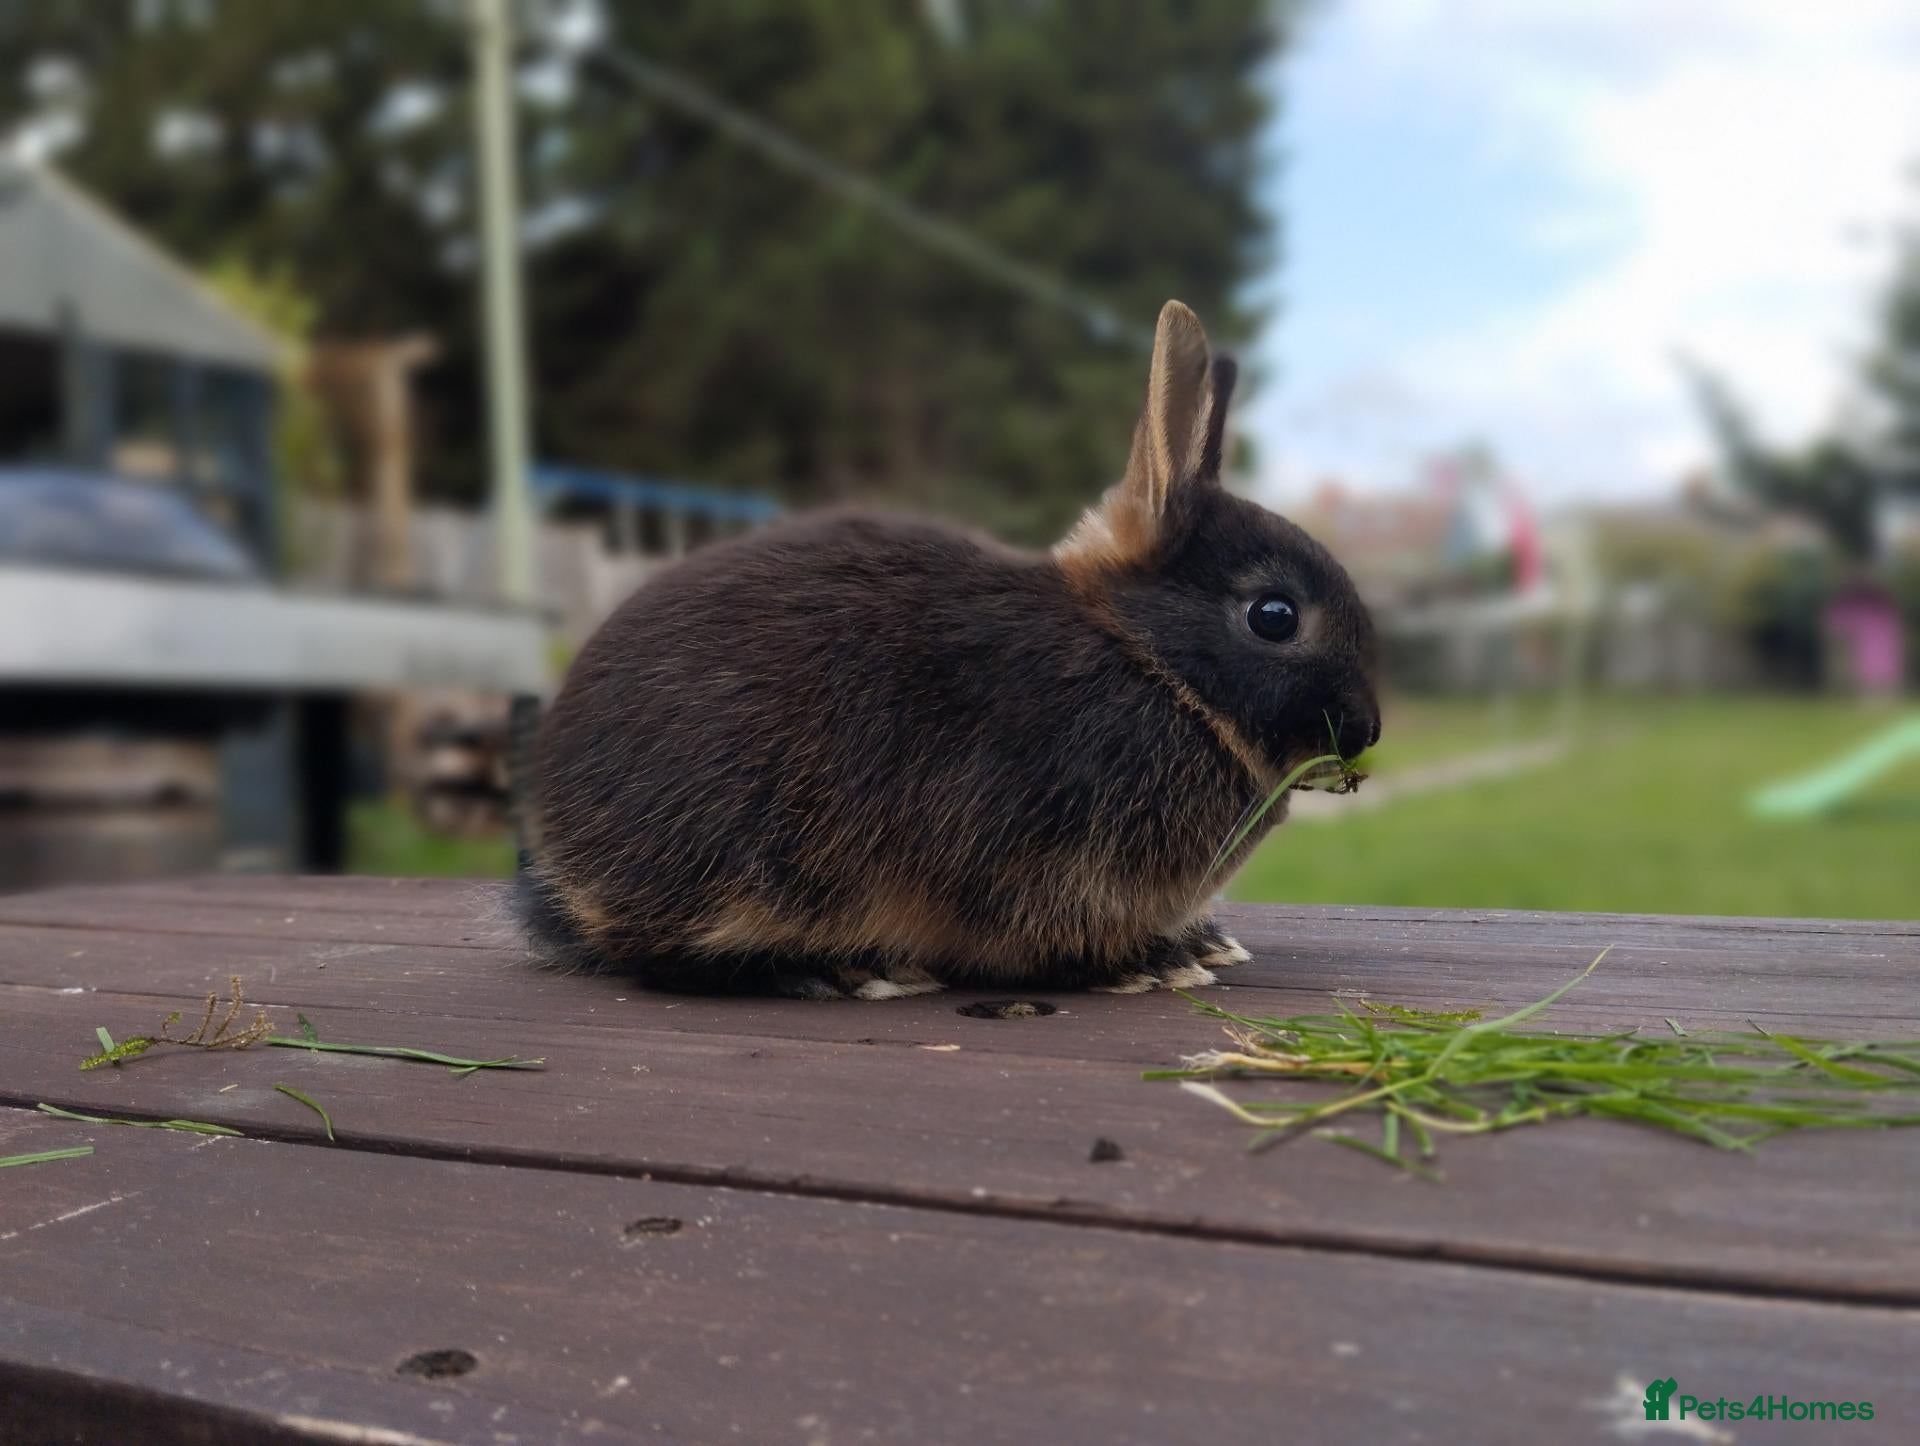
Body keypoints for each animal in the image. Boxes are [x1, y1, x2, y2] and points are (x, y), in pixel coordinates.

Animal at [520, 300, 1380, 999]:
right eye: (1274, 615)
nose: (1366, 727)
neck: (1146, 659)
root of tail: (560, 851)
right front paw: (1150, 965)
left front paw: (1201, 945)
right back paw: (845, 971)